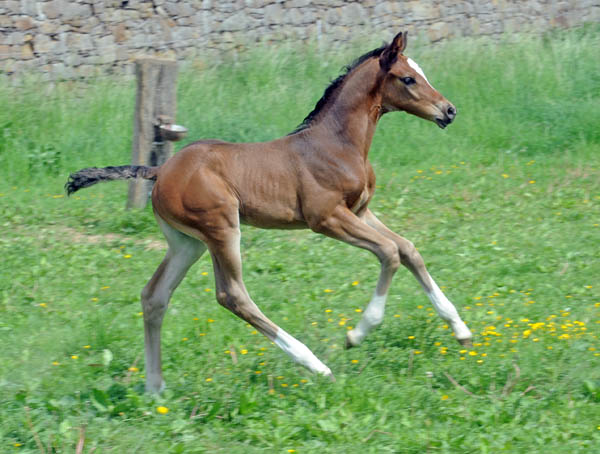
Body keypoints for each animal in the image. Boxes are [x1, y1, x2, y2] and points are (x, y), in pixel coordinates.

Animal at [67, 32, 474, 394]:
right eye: (408, 78)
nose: (450, 110)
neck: (337, 143)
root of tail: (160, 170)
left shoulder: (360, 211)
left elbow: (408, 249)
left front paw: (461, 329)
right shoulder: (326, 218)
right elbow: (389, 253)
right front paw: (355, 335)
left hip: (187, 242)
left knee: (155, 296)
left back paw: (155, 388)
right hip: (222, 228)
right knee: (232, 295)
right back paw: (315, 365)